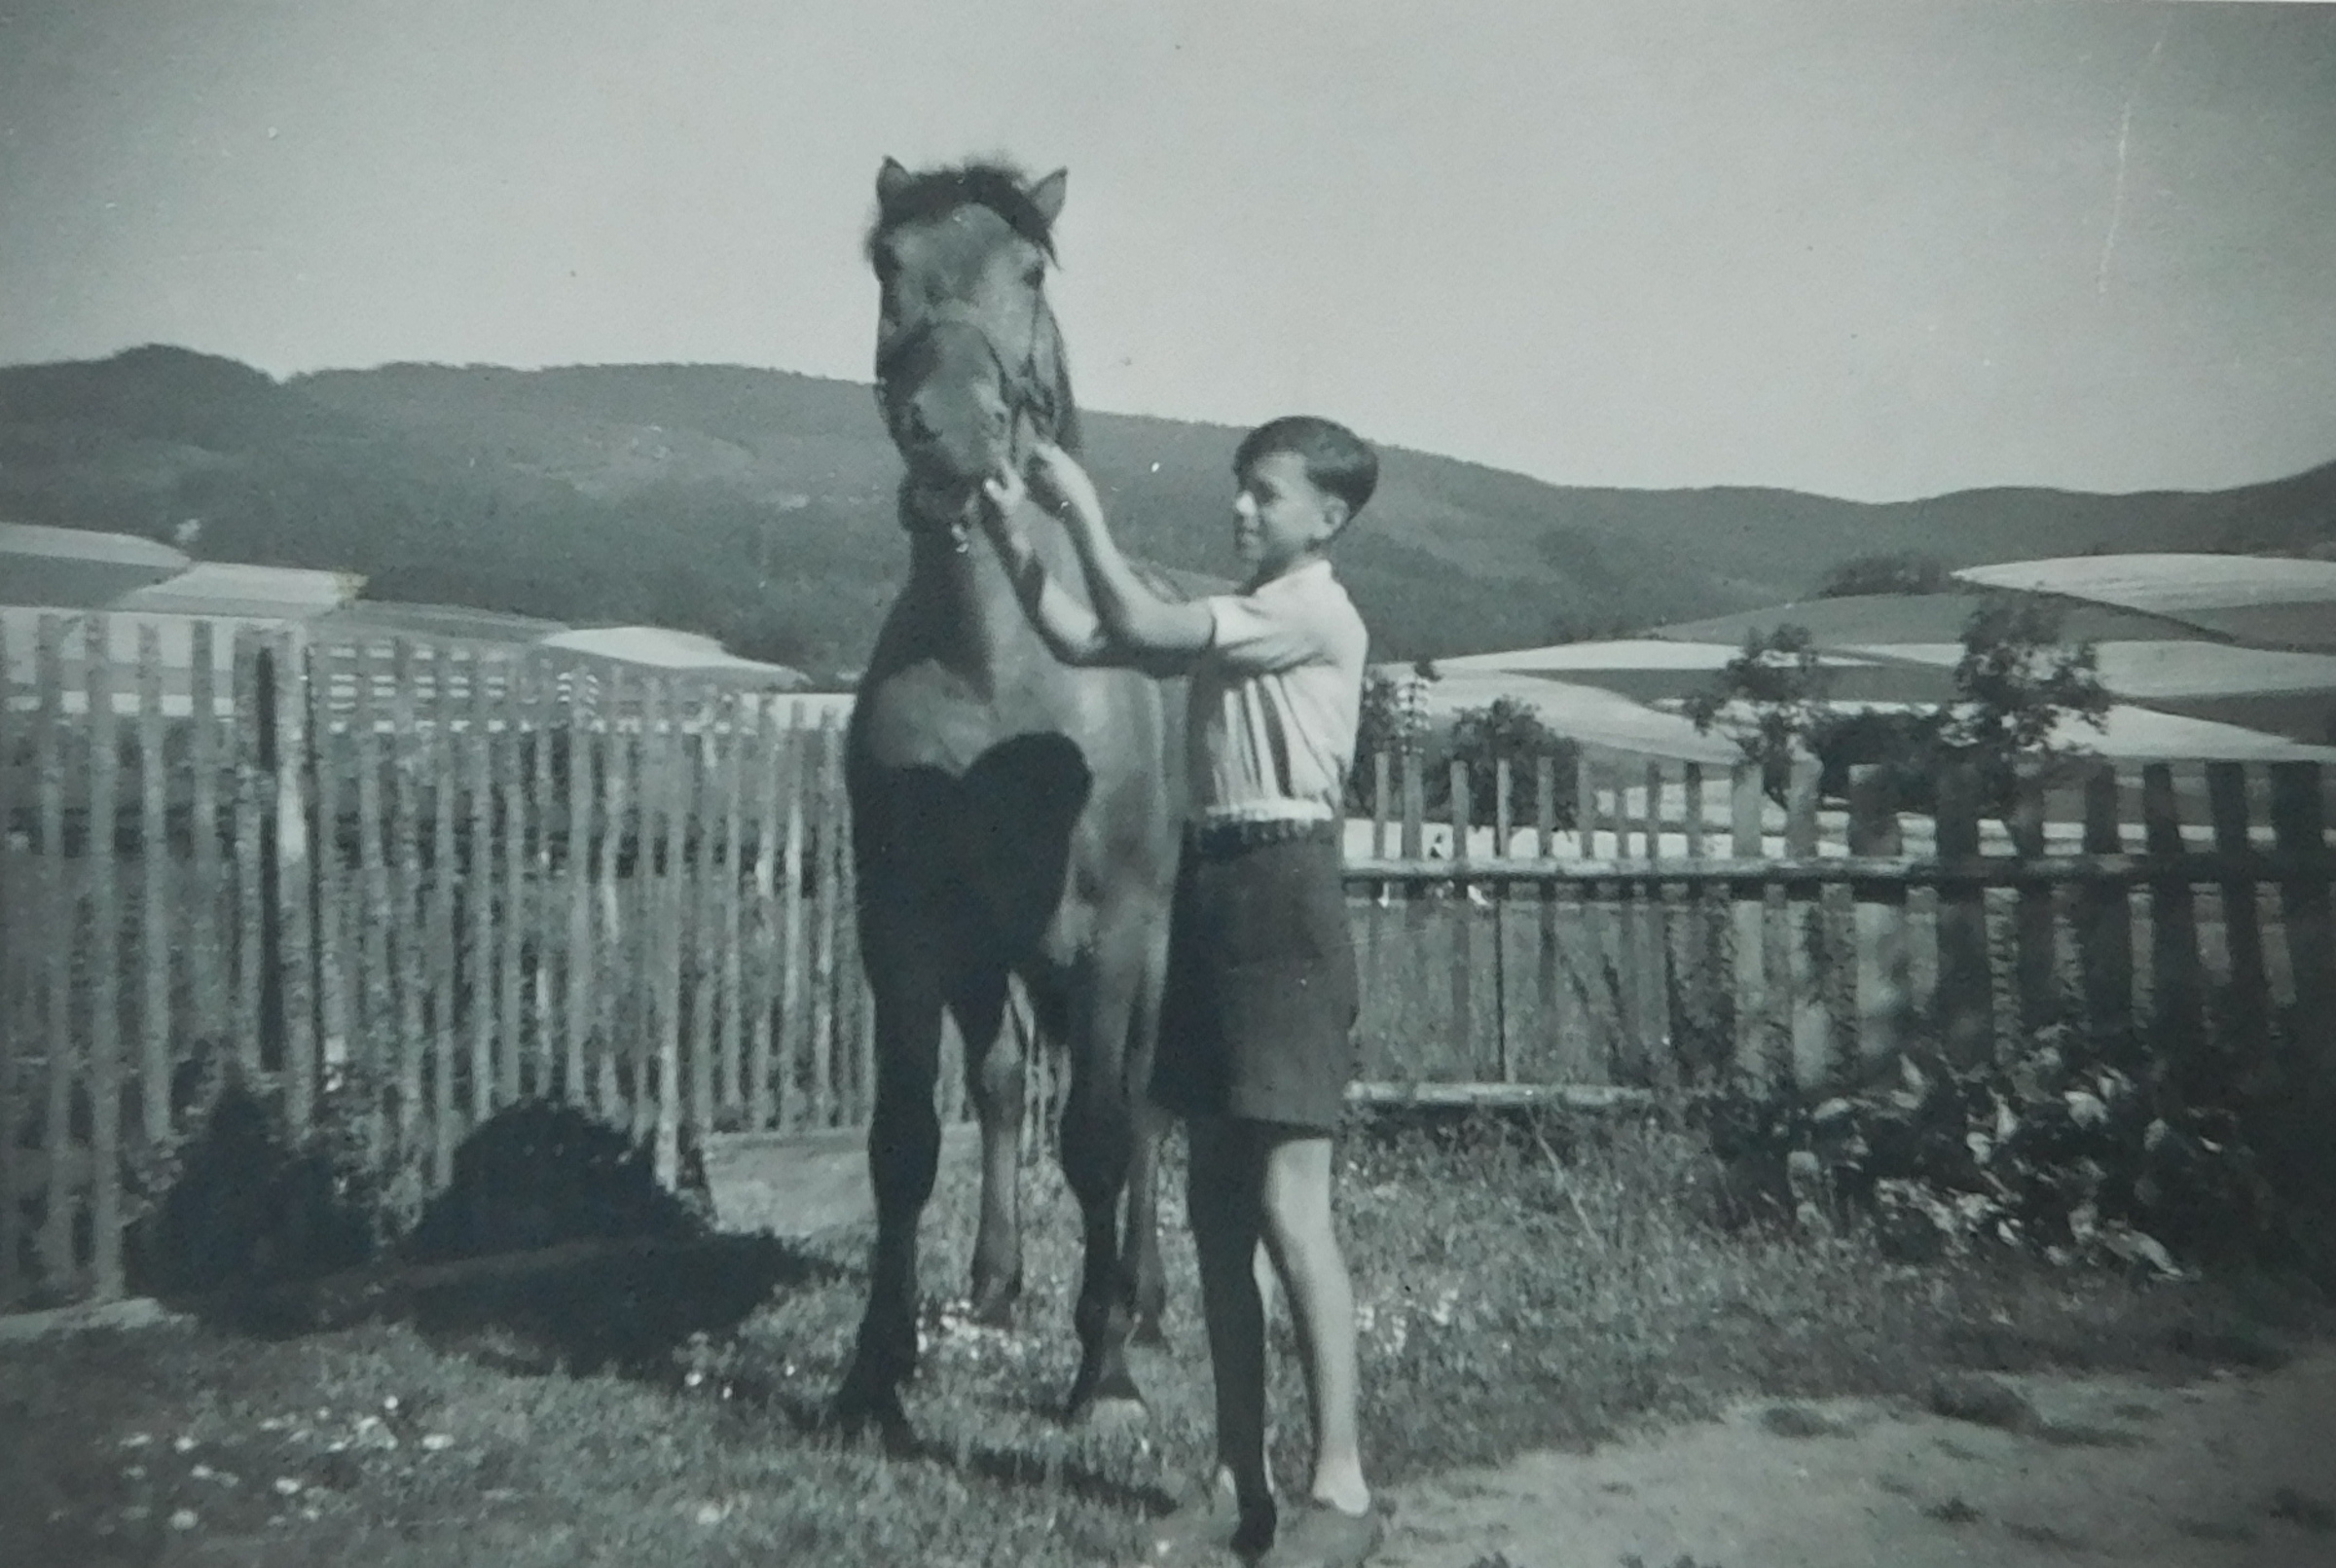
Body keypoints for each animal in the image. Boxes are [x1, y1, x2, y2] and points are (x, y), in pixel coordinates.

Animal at [829, 157, 1183, 1436]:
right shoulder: (905, 933)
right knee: (996, 1087)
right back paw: (995, 1283)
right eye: (891, 266)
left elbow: (1098, 1137)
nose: (951, 431)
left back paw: (1145, 1304)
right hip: (997, 960)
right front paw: (874, 1373)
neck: (995, 667)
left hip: (1148, 956)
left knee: (1143, 1109)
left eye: (1029, 270)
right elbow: (903, 1139)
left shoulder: (1115, 937)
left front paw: (1103, 1373)